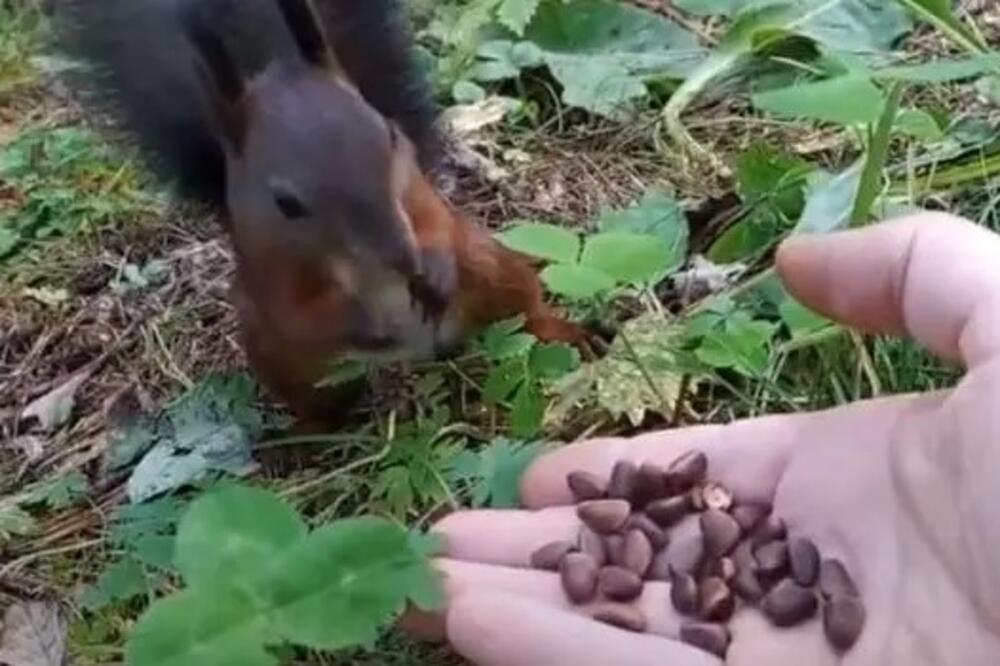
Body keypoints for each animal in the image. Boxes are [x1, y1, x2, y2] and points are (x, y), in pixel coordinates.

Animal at [56, 0, 592, 420]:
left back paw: (565, 332)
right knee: (316, 404)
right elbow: (302, 315)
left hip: (485, 262)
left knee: (521, 304)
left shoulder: (415, 197)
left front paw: (434, 271)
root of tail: (435, 347)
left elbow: (434, 221)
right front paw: (368, 324)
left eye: (391, 134)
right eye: (285, 204)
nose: (403, 259)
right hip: (278, 357)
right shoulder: (274, 273)